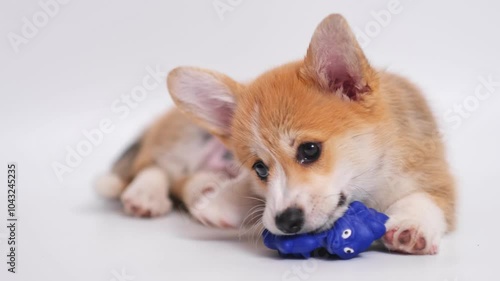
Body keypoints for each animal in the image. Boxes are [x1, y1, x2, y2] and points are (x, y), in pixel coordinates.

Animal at [95, 13, 456, 254]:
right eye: (260, 168)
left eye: (309, 150)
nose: (287, 222)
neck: (369, 181)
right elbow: (246, 191)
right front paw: (224, 203)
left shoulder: (435, 178)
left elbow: (424, 199)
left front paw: (411, 226)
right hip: (183, 138)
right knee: (153, 166)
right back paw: (148, 195)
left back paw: (202, 185)